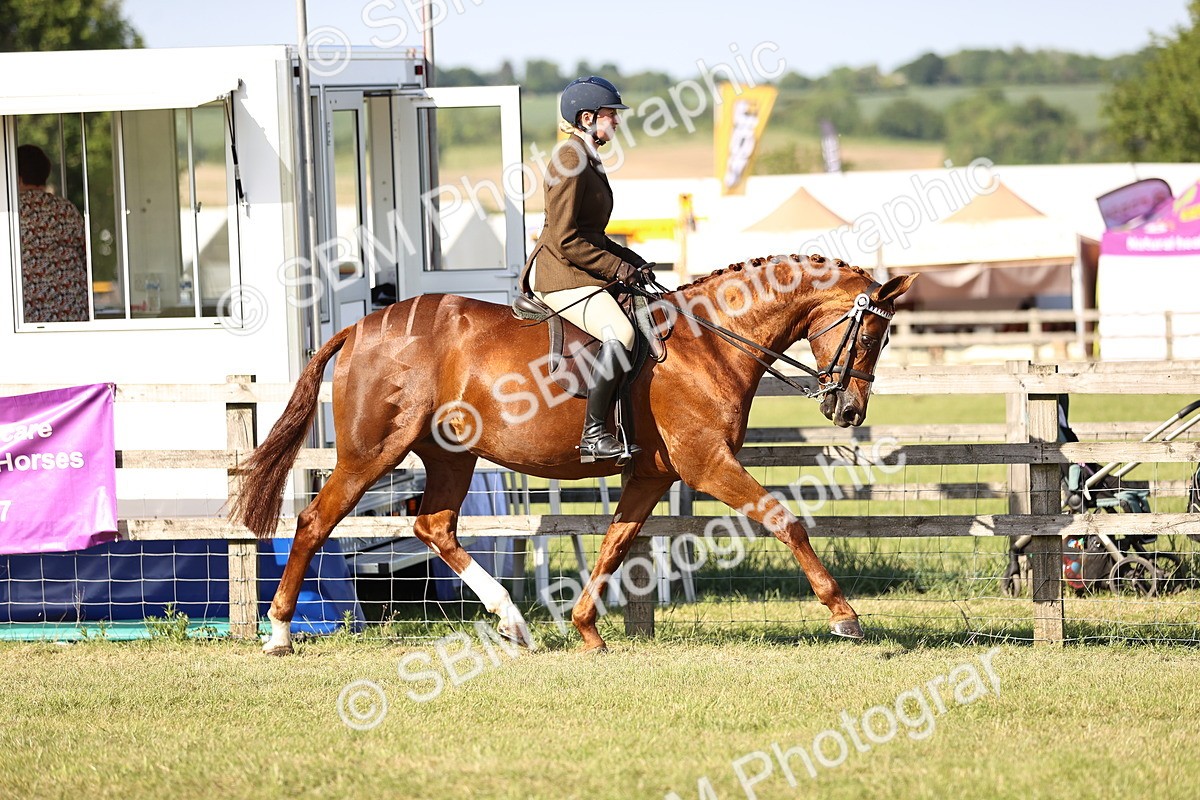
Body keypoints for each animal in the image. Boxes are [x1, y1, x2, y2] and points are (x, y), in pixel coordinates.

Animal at [231, 253, 917, 655]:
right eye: (871, 335)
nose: (849, 411)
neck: (710, 343)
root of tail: (360, 327)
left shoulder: (652, 475)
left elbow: (614, 544)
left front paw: (587, 629)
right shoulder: (707, 464)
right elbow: (785, 520)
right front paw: (845, 616)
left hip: (452, 454)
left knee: (434, 525)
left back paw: (513, 623)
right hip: (371, 452)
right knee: (315, 522)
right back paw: (281, 633)